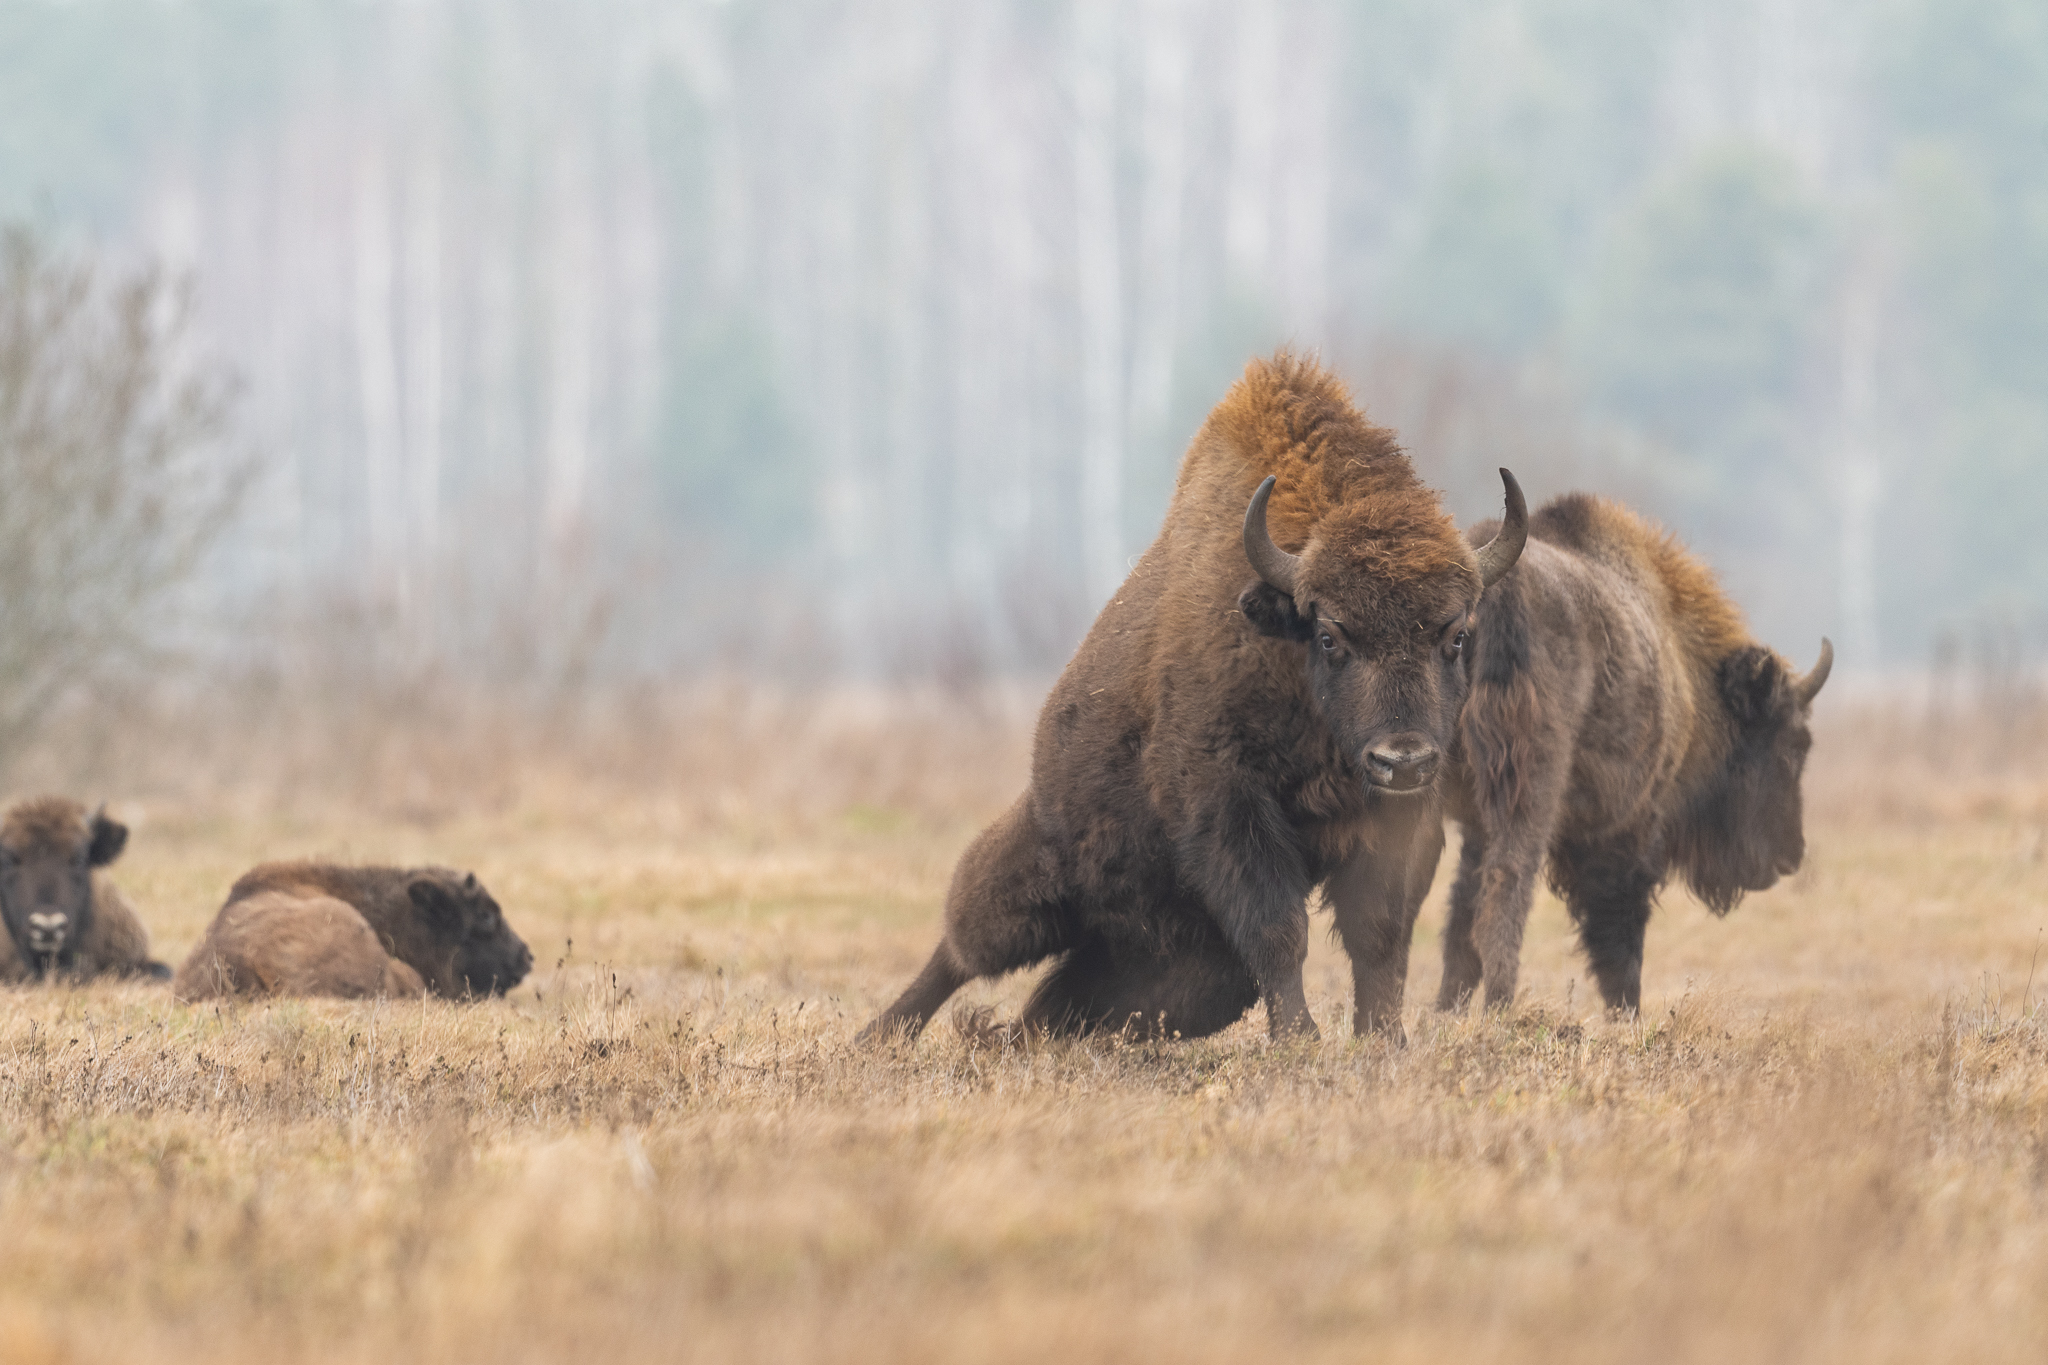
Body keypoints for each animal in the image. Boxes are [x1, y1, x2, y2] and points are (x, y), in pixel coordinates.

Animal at [861, 353, 1525, 1043]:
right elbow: (1280, 929)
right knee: (965, 945)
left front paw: (1383, 1039)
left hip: (1184, 968)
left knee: (1056, 1009)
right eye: (1330, 634)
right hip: (1036, 866)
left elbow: (1380, 936)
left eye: (1456, 635)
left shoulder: (1400, 821)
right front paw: (1301, 1038)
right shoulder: (1229, 806)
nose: (1403, 759)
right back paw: (879, 1034)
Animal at [1437, 492, 1831, 1014]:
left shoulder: (1474, 822)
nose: (1791, 855)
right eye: (1790, 746)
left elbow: (1458, 918)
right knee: (1507, 886)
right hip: (1527, 792)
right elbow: (1621, 943)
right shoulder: (1633, 824)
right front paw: (1628, 1017)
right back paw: (1501, 1008)